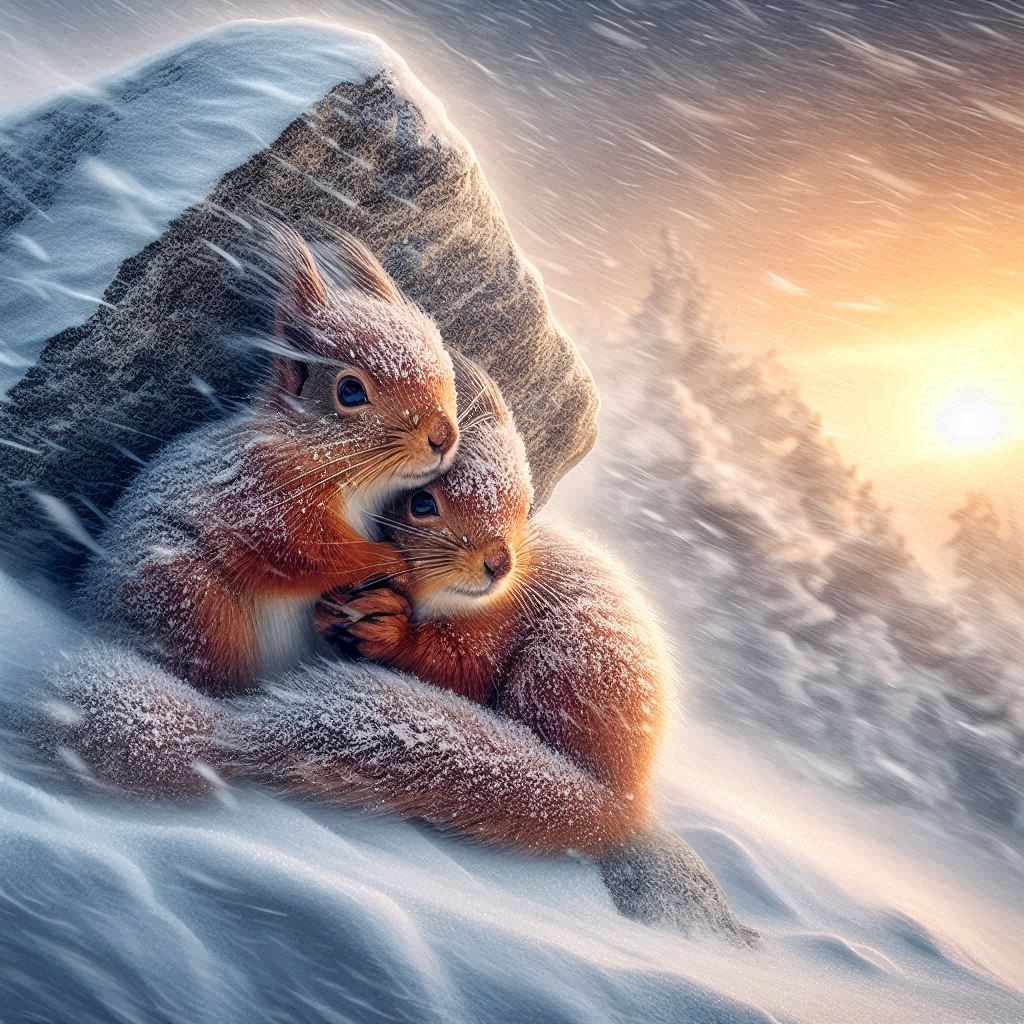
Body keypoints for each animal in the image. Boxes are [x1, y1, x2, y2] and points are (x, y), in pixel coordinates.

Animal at [76, 222, 459, 695]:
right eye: (350, 391)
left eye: (438, 352)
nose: (443, 436)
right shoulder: (262, 498)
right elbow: (310, 554)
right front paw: (393, 564)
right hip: (194, 601)